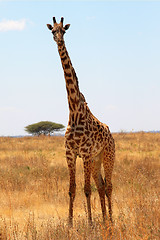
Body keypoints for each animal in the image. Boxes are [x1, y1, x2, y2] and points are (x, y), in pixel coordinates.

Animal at [46, 16, 115, 227]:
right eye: (53, 31)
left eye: (64, 31)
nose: (59, 40)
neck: (74, 110)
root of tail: (111, 134)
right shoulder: (70, 153)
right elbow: (72, 189)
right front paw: (69, 223)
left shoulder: (84, 154)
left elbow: (85, 189)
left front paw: (90, 223)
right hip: (96, 159)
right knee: (100, 185)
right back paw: (104, 219)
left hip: (107, 155)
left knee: (108, 186)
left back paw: (111, 220)